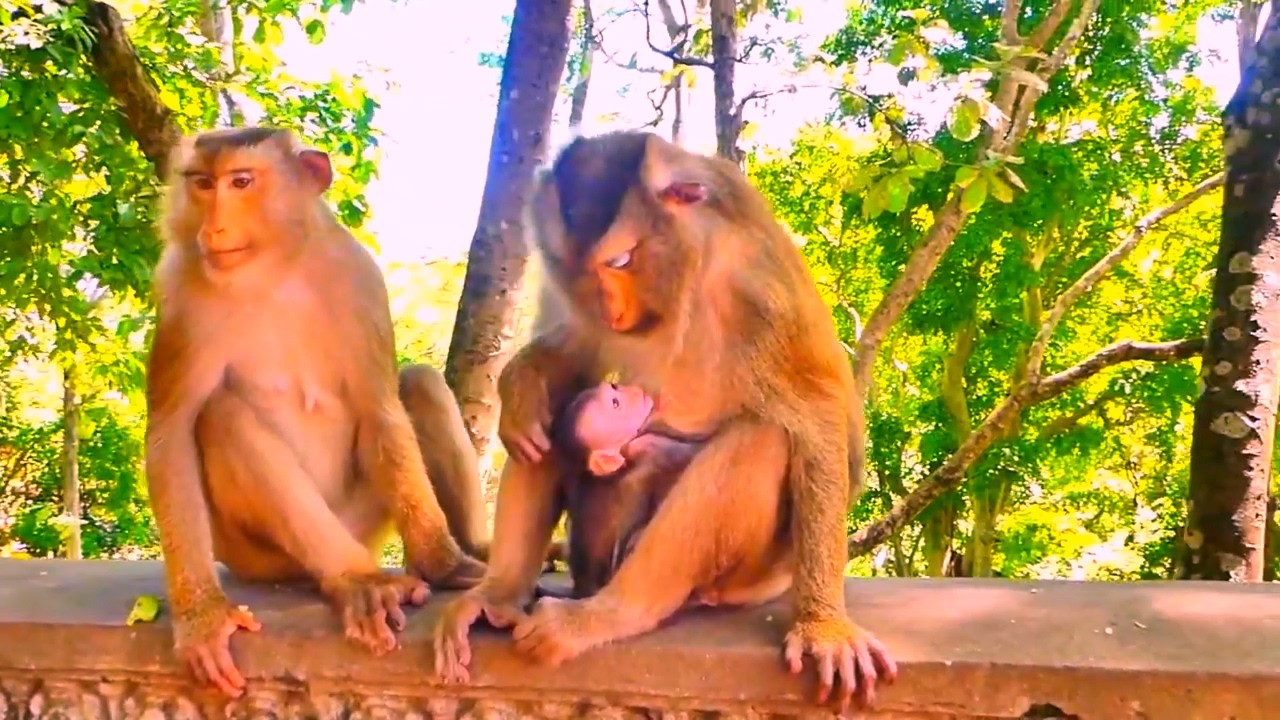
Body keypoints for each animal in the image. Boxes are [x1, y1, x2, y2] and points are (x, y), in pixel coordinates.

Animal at [146, 126, 487, 698]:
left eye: (241, 182)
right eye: (201, 183)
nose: (214, 227)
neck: (273, 271)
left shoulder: (358, 275)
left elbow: (380, 409)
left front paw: (447, 562)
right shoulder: (181, 292)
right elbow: (171, 434)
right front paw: (202, 619)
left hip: (363, 518)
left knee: (418, 383)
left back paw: (461, 556)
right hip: (261, 555)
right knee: (221, 415)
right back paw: (357, 581)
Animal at [431, 131, 897, 714]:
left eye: (621, 260)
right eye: (575, 270)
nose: (611, 309)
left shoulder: (757, 284)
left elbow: (818, 418)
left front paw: (824, 627)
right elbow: (577, 355)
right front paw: (521, 387)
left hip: (754, 575)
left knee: (761, 441)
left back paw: (613, 613)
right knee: (547, 428)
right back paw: (499, 595)